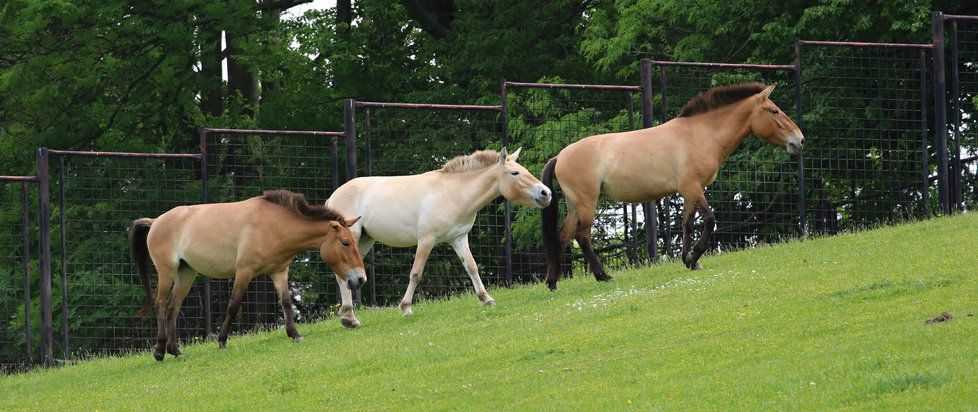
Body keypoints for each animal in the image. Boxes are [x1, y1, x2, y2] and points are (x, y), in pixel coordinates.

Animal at [126, 189, 362, 360]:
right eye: (345, 243)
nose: (360, 279)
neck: (275, 224)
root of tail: (155, 221)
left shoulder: (279, 271)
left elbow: (286, 302)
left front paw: (294, 334)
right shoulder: (244, 271)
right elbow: (233, 304)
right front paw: (222, 341)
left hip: (186, 273)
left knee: (173, 306)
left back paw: (174, 350)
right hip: (167, 272)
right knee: (161, 304)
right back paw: (159, 350)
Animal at [326, 148, 548, 318]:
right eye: (515, 173)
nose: (546, 193)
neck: (453, 193)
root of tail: (332, 197)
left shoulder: (459, 238)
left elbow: (472, 267)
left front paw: (486, 298)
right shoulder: (426, 240)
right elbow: (416, 273)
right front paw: (406, 308)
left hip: (364, 242)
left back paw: (348, 314)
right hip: (353, 239)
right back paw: (348, 314)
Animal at [540, 83, 800, 290]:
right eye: (774, 111)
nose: (799, 140)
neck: (700, 134)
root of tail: (559, 157)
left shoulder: (689, 192)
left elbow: (687, 224)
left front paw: (689, 260)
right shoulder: (693, 188)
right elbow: (709, 220)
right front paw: (695, 254)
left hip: (575, 206)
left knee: (562, 236)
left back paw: (552, 282)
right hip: (587, 203)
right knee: (582, 236)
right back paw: (603, 276)